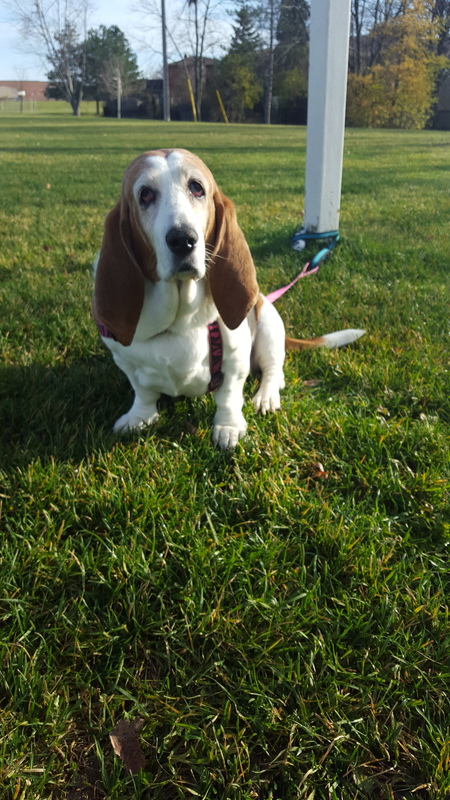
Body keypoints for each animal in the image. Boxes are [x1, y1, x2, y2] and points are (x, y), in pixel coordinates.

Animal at [93, 150, 364, 450]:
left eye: (197, 188)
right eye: (145, 194)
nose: (183, 240)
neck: (179, 320)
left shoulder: (235, 359)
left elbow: (229, 396)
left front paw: (228, 427)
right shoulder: (124, 359)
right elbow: (143, 392)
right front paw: (139, 418)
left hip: (268, 326)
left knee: (274, 371)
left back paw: (266, 397)